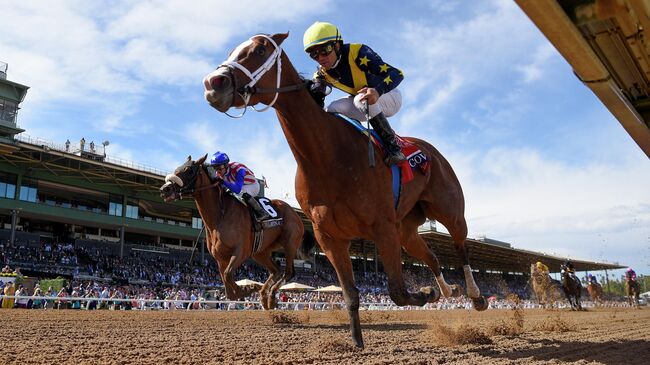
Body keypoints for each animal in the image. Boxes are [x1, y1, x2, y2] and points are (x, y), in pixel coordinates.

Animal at [161, 154, 306, 310]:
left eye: (189, 170)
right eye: (177, 168)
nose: (165, 189)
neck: (220, 216)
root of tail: (294, 212)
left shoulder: (240, 252)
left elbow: (228, 274)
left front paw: (249, 288)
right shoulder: (220, 258)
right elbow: (228, 288)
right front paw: (249, 288)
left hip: (290, 243)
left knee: (288, 272)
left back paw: (271, 296)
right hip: (260, 252)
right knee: (276, 270)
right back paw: (264, 296)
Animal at [200, 32, 484, 346]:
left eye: (259, 50)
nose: (213, 84)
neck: (327, 156)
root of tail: (430, 149)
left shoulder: (382, 228)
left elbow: (397, 291)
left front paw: (424, 292)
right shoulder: (330, 237)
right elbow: (351, 295)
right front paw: (358, 343)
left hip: (449, 210)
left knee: (461, 245)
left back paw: (474, 295)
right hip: (408, 229)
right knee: (432, 256)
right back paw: (448, 290)